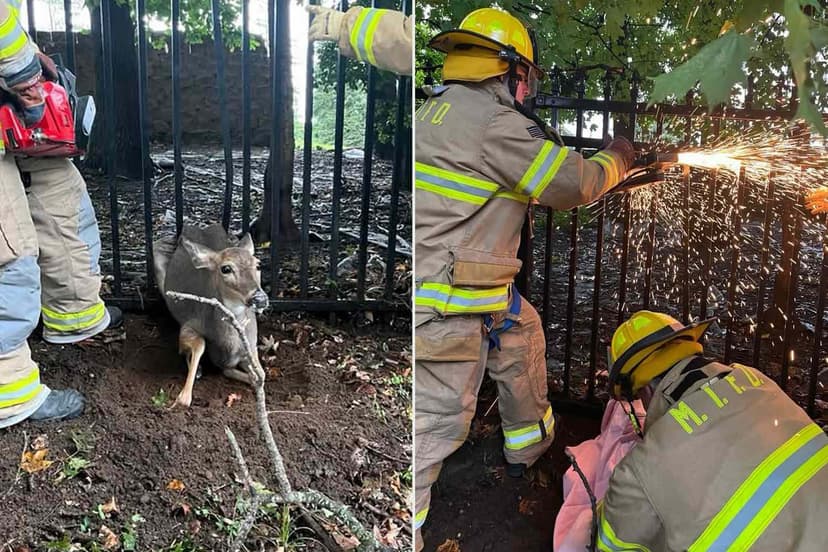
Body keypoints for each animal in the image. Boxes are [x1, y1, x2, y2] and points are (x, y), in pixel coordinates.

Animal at [153, 223, 269, 407]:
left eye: (258, 265)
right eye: (226, 268)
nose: (260, 298)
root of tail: (194, 226)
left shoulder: (251, 342)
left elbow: (261, 375)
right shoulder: (190, 323)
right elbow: (199, 345)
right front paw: (183, 396)